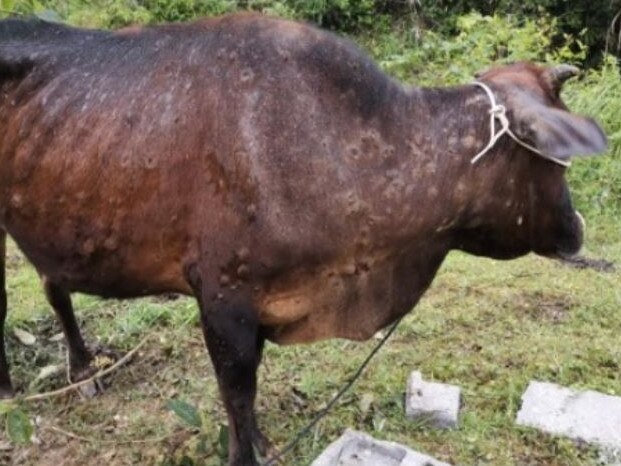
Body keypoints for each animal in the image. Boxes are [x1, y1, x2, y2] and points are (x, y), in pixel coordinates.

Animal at [0, 12, 604, 464]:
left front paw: (265, 442)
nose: (577, 227)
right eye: (558, 157)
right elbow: (237, 396)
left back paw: (82, 367)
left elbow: (247, 400)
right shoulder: (224, 301)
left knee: (54, 285)